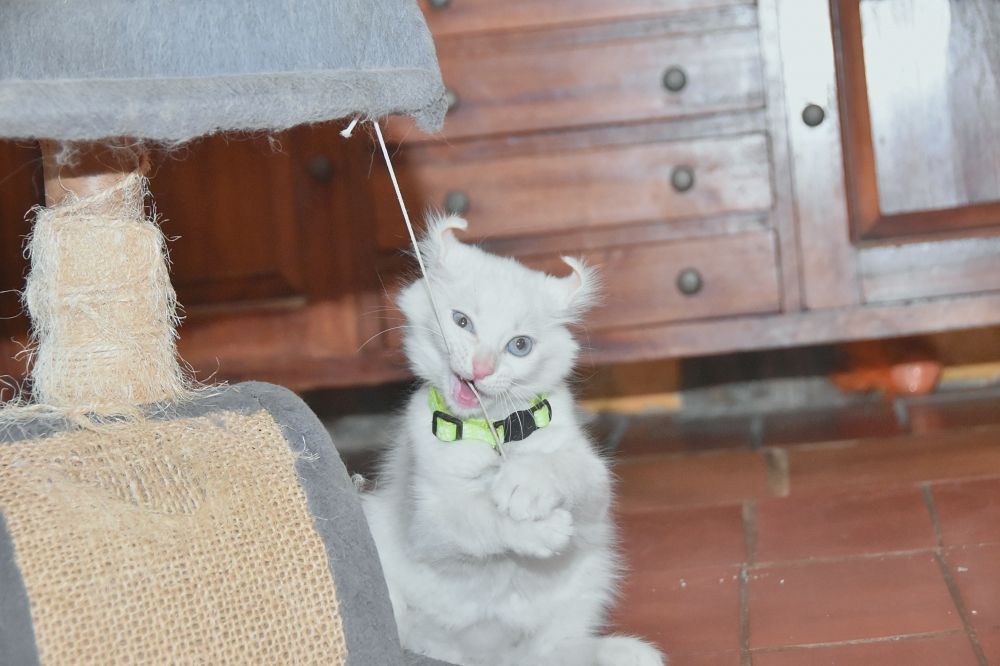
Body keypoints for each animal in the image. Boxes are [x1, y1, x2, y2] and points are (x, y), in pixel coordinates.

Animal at [361, 214, 665, 666]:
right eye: (462, 321)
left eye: (519, 345)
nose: (481, 369)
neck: (491, 430)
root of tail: (488, 659)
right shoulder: (428, 519)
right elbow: (476, 516)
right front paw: (536, 531)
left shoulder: (594, 482)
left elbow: (566, 468)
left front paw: (528, 483)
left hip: (592, 574)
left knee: (558, 652)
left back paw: (622, 652)